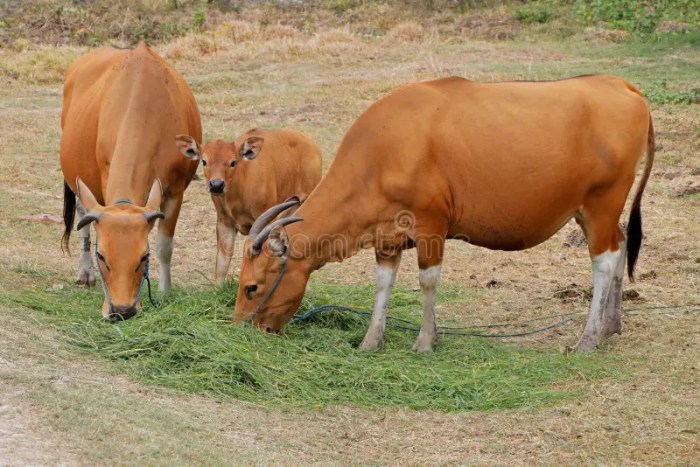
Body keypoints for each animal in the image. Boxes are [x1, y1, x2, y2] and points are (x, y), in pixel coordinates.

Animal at [59, 42, 202, 322]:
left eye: (143, 256)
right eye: (102, 256)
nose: (121, 310)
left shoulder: (175, 191)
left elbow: (164, 245)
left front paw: (165, 293)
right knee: (82, 215)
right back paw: (84, 273)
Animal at [174, 128, 322, 282]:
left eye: (233, 162)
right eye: (204, 161)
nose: (216, 185)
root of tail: (311, 145)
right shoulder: (224, 221)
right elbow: (222, 261)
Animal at [231, 73, 656, 352]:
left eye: (251, 287)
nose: (239, 328)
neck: (384, 152)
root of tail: (621, 85)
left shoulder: (432, 225)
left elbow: (427, 282)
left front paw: (425, 340)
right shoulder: (387, 235)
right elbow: (383, 284)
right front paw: (371, 340)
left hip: (601, 202)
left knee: (604, 261)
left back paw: (588, 338)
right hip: (592, 210)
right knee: (620, 246)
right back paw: (611, 326)